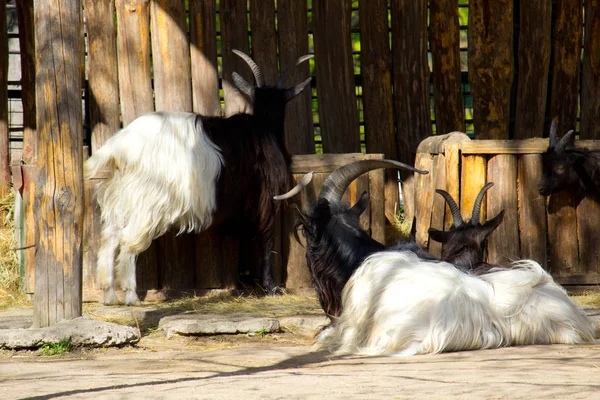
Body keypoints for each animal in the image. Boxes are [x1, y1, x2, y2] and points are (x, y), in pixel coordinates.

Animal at [85, 50, 314, 306]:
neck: (263, 127)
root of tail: (121, 145)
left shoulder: (243, 203)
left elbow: (244, 236)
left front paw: (245, 280)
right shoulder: (266, 197)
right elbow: (266, 237)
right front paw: (271, 287)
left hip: (122, 195)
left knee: (110, 238)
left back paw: (108, 295)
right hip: (148, 201)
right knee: (127, 241)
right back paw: (131, 296)